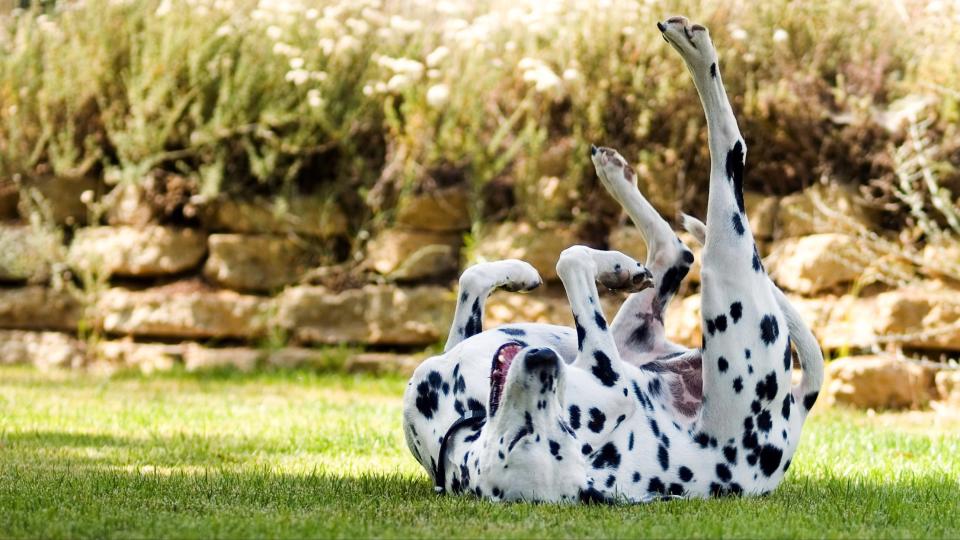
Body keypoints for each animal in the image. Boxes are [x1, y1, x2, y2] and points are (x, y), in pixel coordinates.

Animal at [400, 17, 824, 506]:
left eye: (558, 426)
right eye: (526, 436)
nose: (544, 360)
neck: (456, 426)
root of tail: (796, 415)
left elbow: (493, 271)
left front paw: (535, 272)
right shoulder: (611, 382)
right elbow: (562, 261)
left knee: (677, 245)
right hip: (727, 276)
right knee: (721, 170)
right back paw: (692, 51)